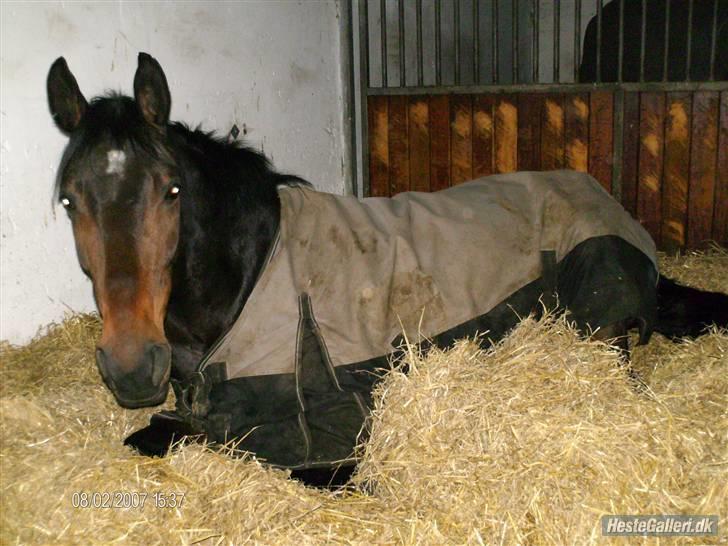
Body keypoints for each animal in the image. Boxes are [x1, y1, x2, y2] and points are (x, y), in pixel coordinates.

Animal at [48, 53, 724, 482]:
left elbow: (252, 451)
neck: (253, 274)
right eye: (70, 200)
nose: (132, 366)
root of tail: (607, 202)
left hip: (594, 326)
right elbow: (160, 429)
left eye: (171, 191)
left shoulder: (329, 426)